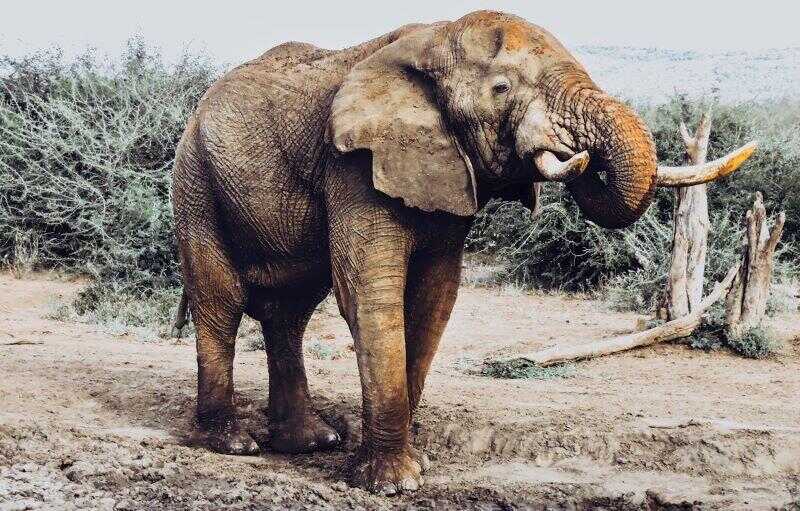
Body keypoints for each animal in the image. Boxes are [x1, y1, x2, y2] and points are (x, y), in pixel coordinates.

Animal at [170, 10, 754, 494]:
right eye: (501, 88)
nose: (579, 154)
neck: (434, 38)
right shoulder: (355, 167)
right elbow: (370, 295)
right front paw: (393, 484)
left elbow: (435, 297)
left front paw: (413, 463)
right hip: (194, 182)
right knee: (223, 302)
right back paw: (234, 443)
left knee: (289, 311)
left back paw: (311, 442)